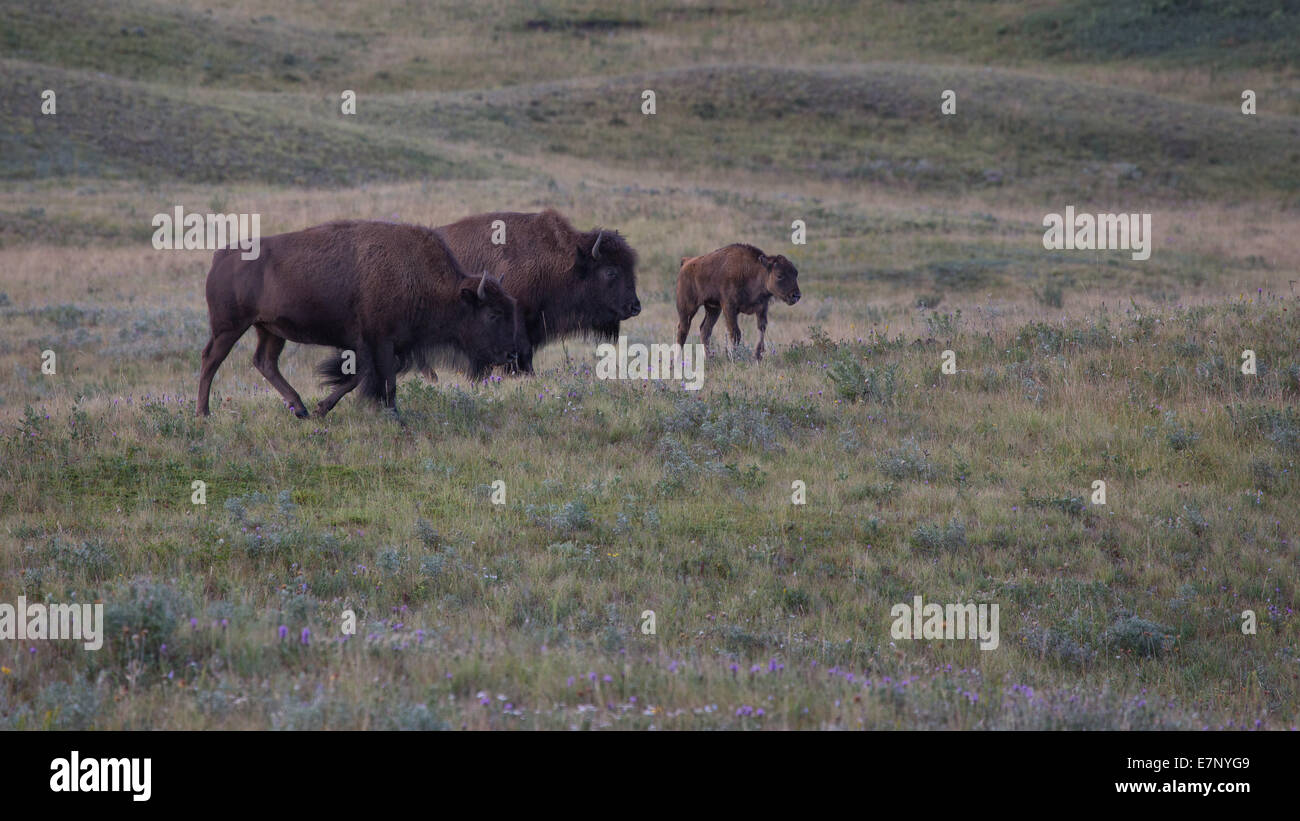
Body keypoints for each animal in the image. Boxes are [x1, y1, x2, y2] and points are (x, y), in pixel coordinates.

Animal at [193, 219, 527, 415]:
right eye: (494, 314)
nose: (511, 354)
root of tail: (221, 256)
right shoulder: (379, 341)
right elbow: (382, 379)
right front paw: (393, 416)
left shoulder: (383, 345)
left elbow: (364, 376)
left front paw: (323, 408)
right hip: (230, 327)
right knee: (211, 360)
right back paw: (203, 413)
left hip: (269, 330)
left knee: (264, 361)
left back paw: (300, 409)